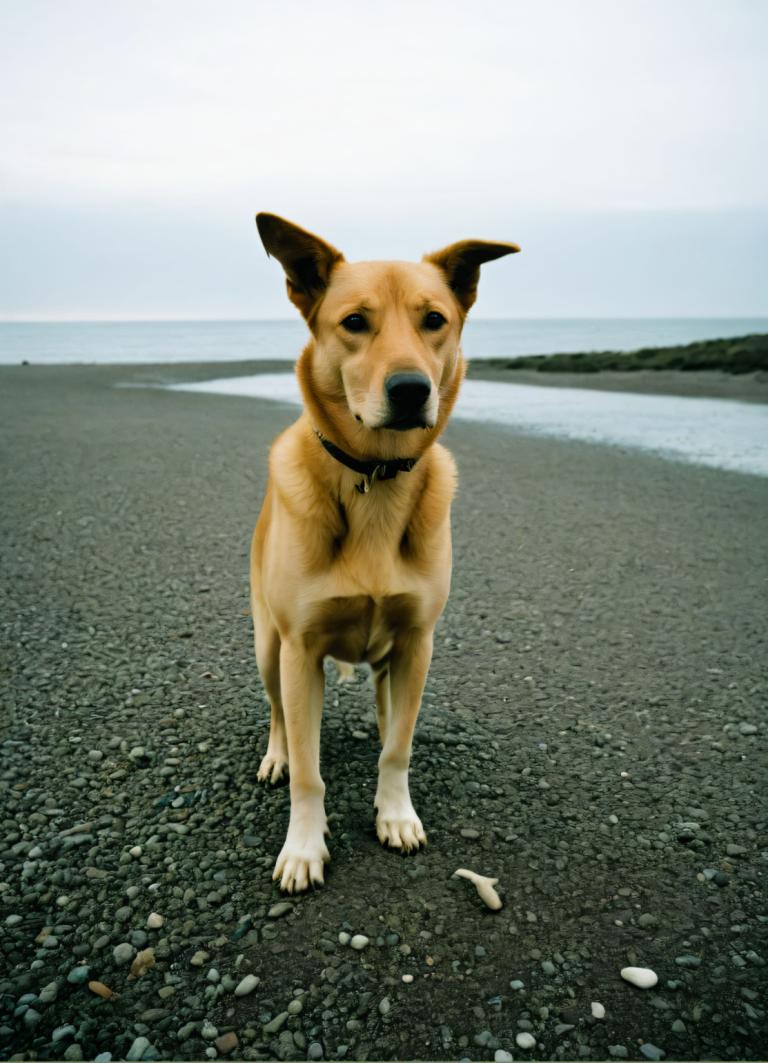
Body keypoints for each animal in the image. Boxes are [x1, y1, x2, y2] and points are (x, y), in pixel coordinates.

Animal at [247, 213, 516, 888]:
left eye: (435, 319)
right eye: (354, 322)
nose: (411, 389)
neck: (375, 475)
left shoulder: (419, 640)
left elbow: (400, 746)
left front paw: (395, 813)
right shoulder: (299, 649)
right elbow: (311, 769)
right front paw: (303, 846)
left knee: (387, 703)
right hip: (268, 646)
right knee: (279, 714)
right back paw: (276, 755)